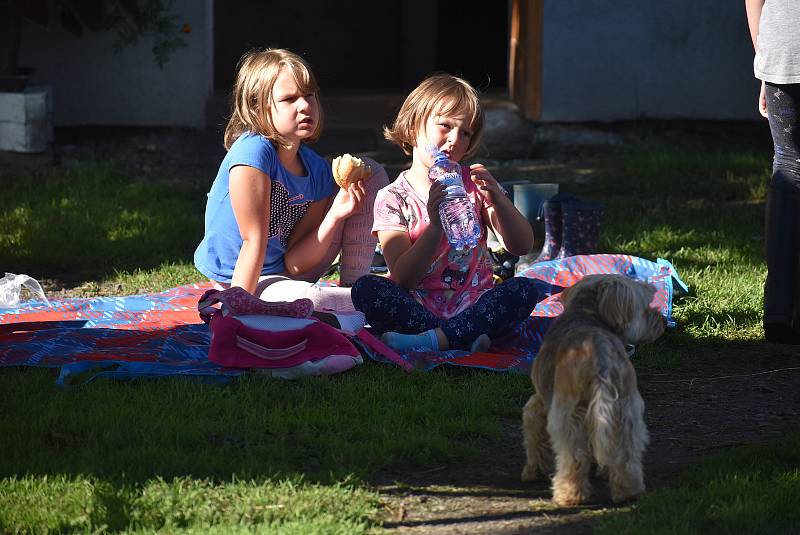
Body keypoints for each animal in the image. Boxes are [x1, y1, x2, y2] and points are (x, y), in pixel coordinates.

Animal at [520, 274, 664, 504]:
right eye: (646, 306)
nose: (662, 321)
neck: (586, 313)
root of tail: (601, 354)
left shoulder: (540, 403)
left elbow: (534, 436)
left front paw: (532, 471)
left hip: (568, 415)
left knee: (574, 456)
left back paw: (569, 495)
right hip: (625, 410)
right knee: (625, 452)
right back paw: (628, 491)